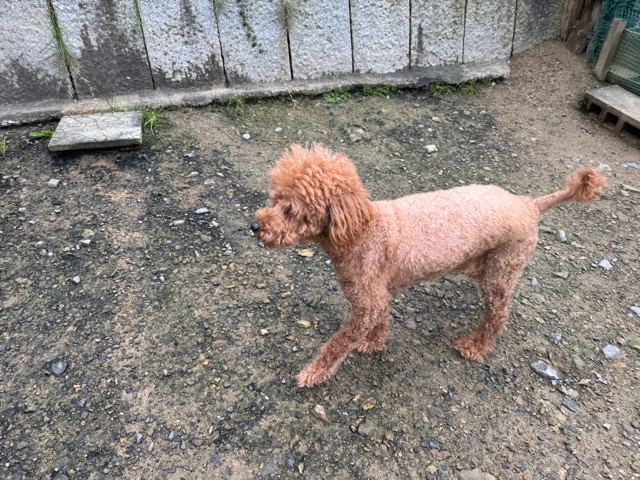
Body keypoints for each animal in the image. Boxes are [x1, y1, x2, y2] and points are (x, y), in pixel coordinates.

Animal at [251, 144, 606, 388]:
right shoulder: (378, 293)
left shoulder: (367, 300)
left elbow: (338, 343)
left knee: (498, 315)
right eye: (274, 199)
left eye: (290, 210)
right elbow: (380, 319)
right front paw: (374, 342)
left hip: (503, 267)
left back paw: (476, 345)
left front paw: (314, 371)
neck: (361, 230)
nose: (254, 226)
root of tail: (529, 204)